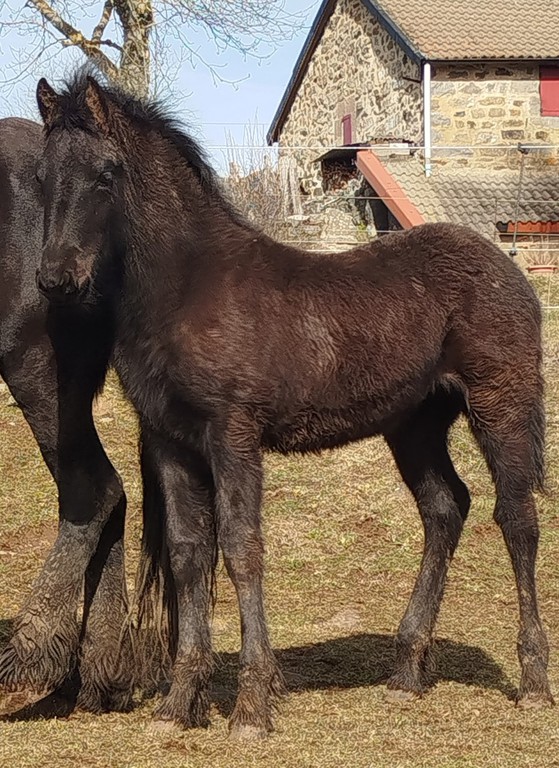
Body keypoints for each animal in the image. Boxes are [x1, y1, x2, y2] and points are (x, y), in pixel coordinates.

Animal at [34, 73, 554, 738]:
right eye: (42, 175)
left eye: (106, 174)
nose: (56, 280)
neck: (187, 286)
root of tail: (507, 269)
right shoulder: (170, 439)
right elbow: (188, 552)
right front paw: (178, 704)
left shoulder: (232, 433)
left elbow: (241, 546)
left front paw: (253, 706)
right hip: (414, 425)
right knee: (445, 509)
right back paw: (406, 674)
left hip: (500, 403)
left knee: (517, 519)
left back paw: (533, 682)